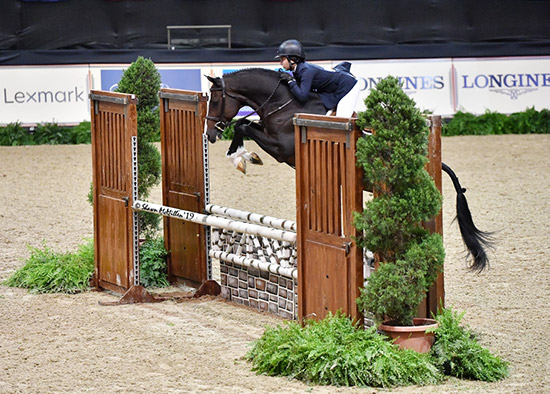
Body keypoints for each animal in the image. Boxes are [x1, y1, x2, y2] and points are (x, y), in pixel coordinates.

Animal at [205, 67, 494, 272]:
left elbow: (243, 127)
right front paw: (244, 157)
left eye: (216, 100)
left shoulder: (281, 147)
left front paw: (242, 158)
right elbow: (243, 125)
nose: (209, 134)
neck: (284, 103)